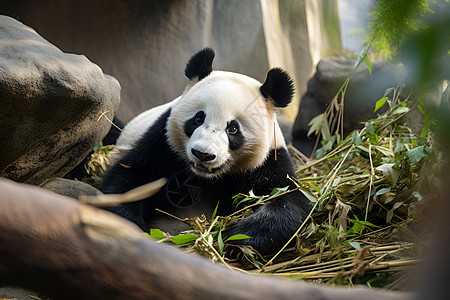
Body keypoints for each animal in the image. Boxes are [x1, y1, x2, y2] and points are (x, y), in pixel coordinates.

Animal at [101, 48, 312, 254]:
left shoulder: (269, 160)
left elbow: (288, 201)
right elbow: (131, 177)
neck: (204, 179)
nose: (203, 154)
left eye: (233, 129)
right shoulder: (162, 144)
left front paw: (238, 235)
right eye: (198, 118)